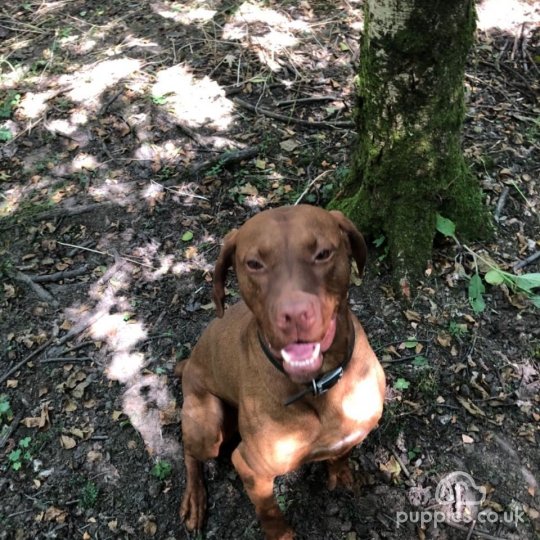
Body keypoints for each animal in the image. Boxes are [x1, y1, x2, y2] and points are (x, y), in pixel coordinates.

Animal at [176, 205, 384, 536]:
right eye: (254, 263)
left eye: (323, 253)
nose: (295, 315)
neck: (318, 384)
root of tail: (189, 363)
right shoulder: (251, 468)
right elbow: (269, 511)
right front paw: (281, 533)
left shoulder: (352, 432)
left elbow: (341, 454)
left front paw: (340, 473)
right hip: (207, 426)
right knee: (189, 452)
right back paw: (194, 499)